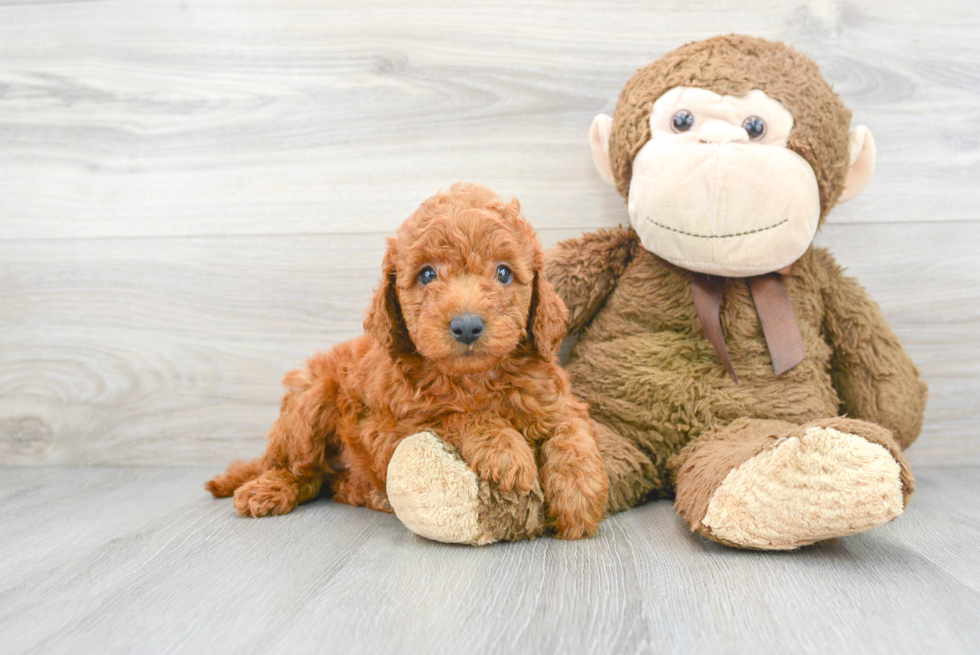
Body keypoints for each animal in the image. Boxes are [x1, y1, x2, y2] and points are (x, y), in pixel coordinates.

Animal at [205, 183, 604, 540]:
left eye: (503, 272)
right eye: (427, 274)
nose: (466, 326)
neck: (475, 378)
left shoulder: (555, 397)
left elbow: (571, 431)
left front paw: (579, 495)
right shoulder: (391, 428)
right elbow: (457, 416)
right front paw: (506, 452)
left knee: (327, 481)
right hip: (310, 401)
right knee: (301, 470)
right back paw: (269, 489)